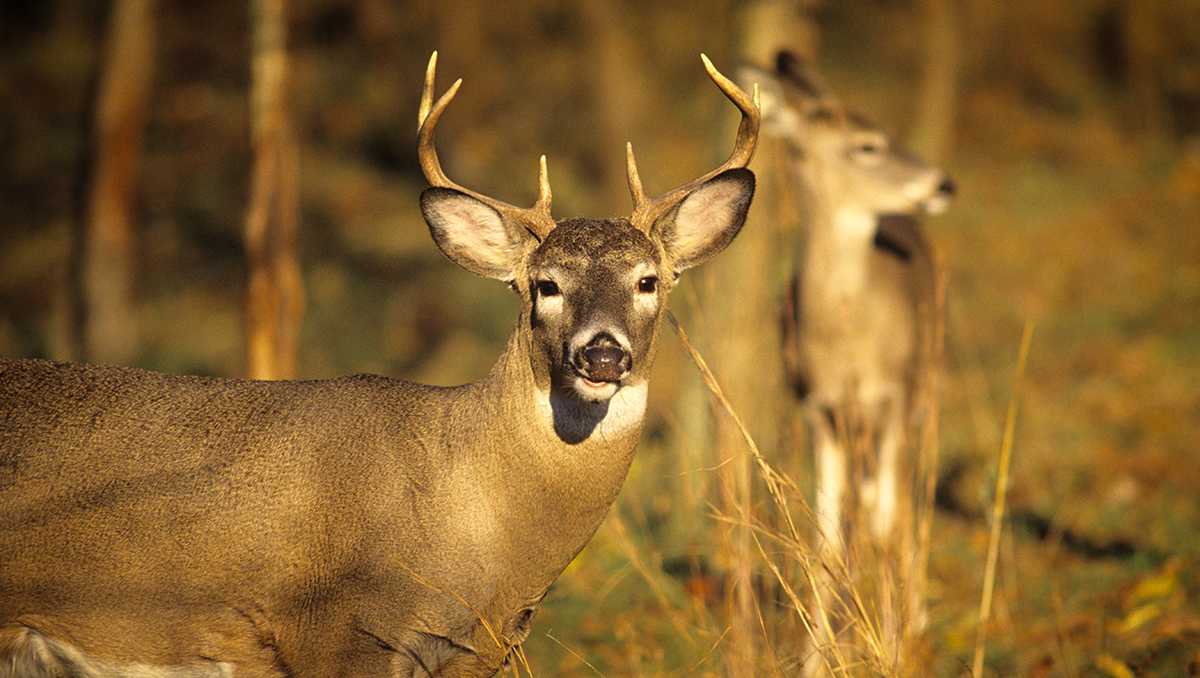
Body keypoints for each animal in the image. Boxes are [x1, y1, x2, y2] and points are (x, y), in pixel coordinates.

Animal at [739, 51, 955, 669]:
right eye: (867, 145)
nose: (943, 183)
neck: (846, 343)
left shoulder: (892, 399)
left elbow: (886, 523)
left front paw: (894, 644)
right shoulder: (819, 408)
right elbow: (828, 537)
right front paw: (817, 658)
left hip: (928, 385)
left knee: (907, 497)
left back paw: (916, 615)